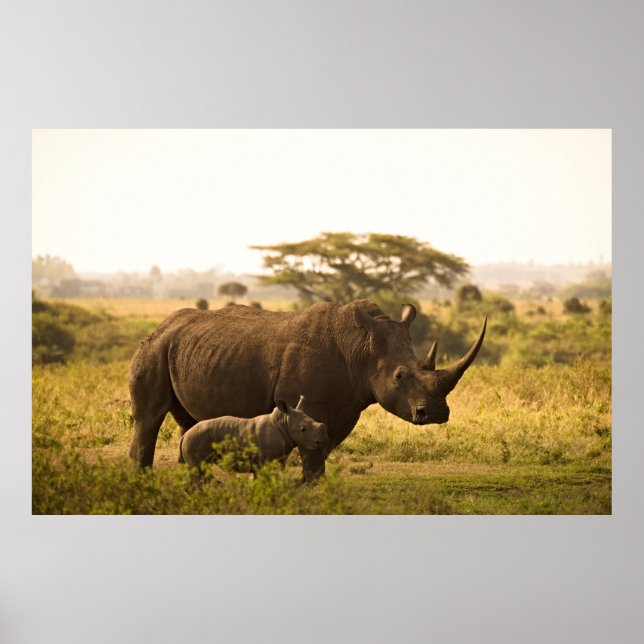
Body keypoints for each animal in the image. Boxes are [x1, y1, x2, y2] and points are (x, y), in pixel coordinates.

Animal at [179, 395, 329, 475]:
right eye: (303, 429)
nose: (322, 441)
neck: (283, 423)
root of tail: (184, 436)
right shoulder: (266, 461)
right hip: (196, 440)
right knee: (200, 470)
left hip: (195, 439)